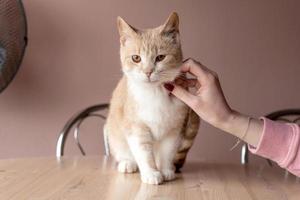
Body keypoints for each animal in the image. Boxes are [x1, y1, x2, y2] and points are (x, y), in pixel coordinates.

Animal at [104, 12, 200, 184]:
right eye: (136, 58)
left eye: (160, 57)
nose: (148, 72)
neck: (154, 93)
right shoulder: (136, 127)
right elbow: (143, 151)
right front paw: (151, 173)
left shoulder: (174, 129)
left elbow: (168, 151)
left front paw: (166, 170)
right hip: (113, 131)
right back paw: (127, 163)